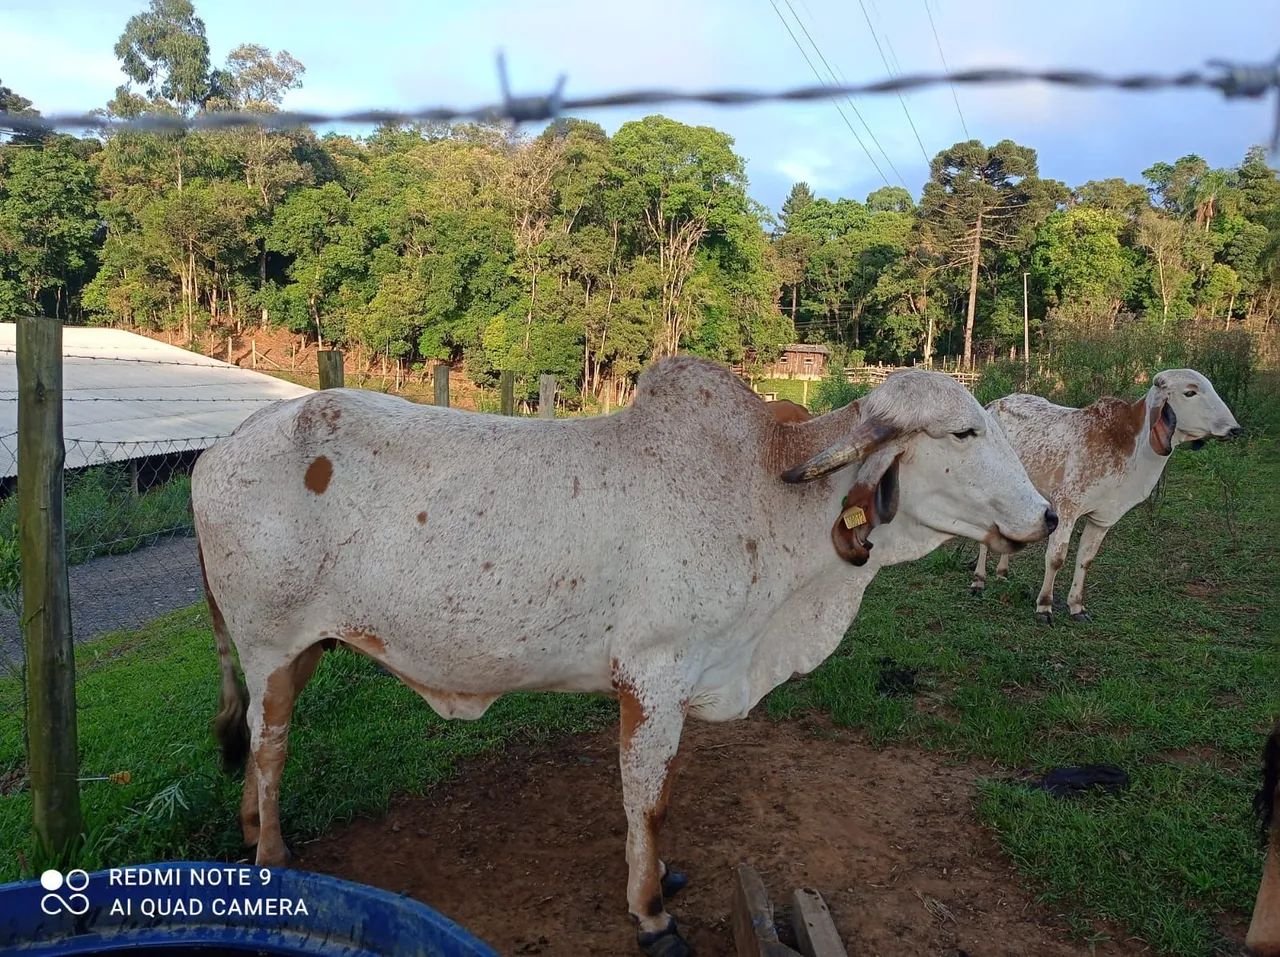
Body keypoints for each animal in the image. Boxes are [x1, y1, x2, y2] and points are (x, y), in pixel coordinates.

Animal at [192, 356, 1055, 957]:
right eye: (965, 432)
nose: (1047, 515)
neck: (765, 495)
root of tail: (214, 452)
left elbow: (661, 791)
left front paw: (662, 875)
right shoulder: (653, 675)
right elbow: (649, 800)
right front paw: (651, 913)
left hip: (301, 648)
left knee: (261, 746)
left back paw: (249, 831)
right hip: (270, 643)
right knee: (269, 747)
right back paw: (272, 851)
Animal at [969, 369, 1241, 624]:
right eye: (1190, 393)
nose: (1235, 429)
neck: (1131, 447)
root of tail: (992, 404)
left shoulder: (1103, 518)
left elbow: (1086, 559)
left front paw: (1077, 607)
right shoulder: (1067, 508)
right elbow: (1056, 558)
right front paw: (1044, 606)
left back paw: (1002, 573)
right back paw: (979, 580)